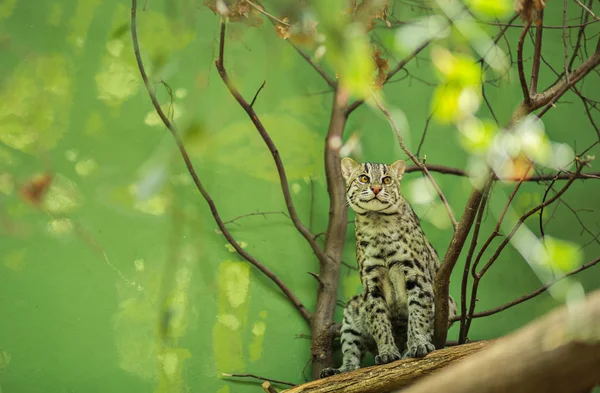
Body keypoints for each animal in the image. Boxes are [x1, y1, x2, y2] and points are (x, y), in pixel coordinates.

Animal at [322, 157, 458, 376]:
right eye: (364, 178)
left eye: (386, 180)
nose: (376, 188)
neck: (377, 222)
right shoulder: (371, 284)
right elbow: (379, 320)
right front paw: (387, 351)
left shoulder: (417, 276)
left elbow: (418, 313)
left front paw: (418, 344)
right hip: (352, 313)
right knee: (351, 354)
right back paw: (339, 370)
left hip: (450, 304)